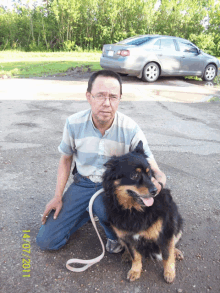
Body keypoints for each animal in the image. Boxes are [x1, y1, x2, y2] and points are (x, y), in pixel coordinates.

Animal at [103, 140, 184, 282]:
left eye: (149, 173)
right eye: (134, 175)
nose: (155, 190)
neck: (134, 210)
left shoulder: (166, 232)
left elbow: (167, 255)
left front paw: (169, 272)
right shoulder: (128, 236)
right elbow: (135, 255)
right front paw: (135, 270)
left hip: (177, 222)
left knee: (173, 243)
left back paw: (177, 252)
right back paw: (126, 255)